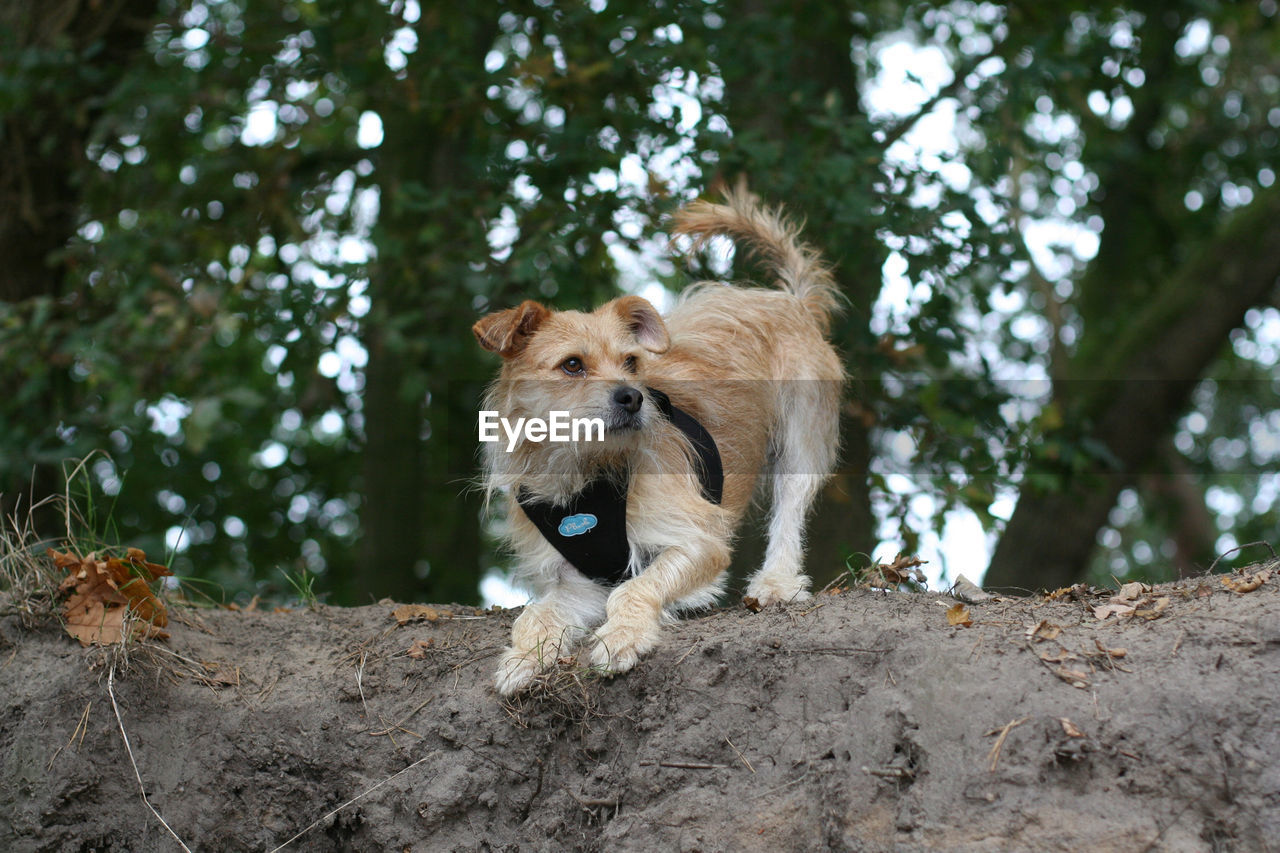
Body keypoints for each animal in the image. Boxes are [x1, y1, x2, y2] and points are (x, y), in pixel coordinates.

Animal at [476, 185, 844, 691]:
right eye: (572, 365)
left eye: (631, 362)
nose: (632, 397)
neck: (586, 472)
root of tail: (789, 300)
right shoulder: (578, 582)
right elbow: (535, 615)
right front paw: (524, 658)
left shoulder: (697, 541)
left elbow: (636, 588)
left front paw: (622, 637)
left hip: (801, 437)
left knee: (790, 511)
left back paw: (775, 583)